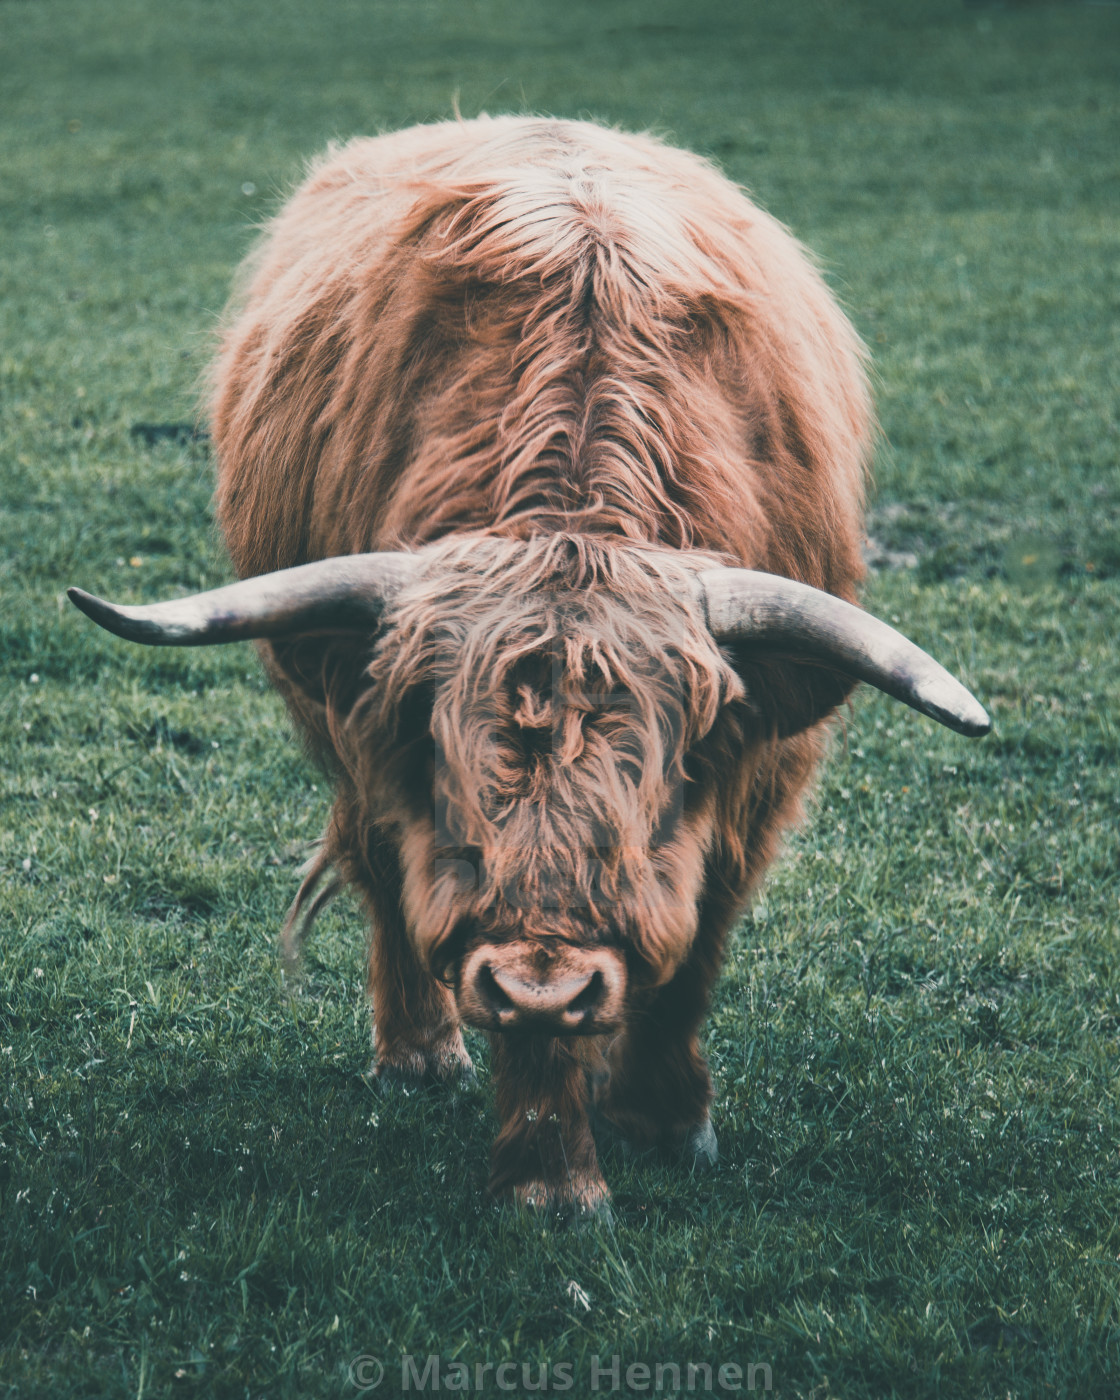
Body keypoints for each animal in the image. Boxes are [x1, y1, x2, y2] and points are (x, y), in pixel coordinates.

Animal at [70, 114, 991, 1220]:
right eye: (451, 770)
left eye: (657, 781)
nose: (544, 978)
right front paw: (551, 1179)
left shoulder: (761, 766)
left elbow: (698, 937)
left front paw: (661, 1121)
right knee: (379, 866)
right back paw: (419, 1056)